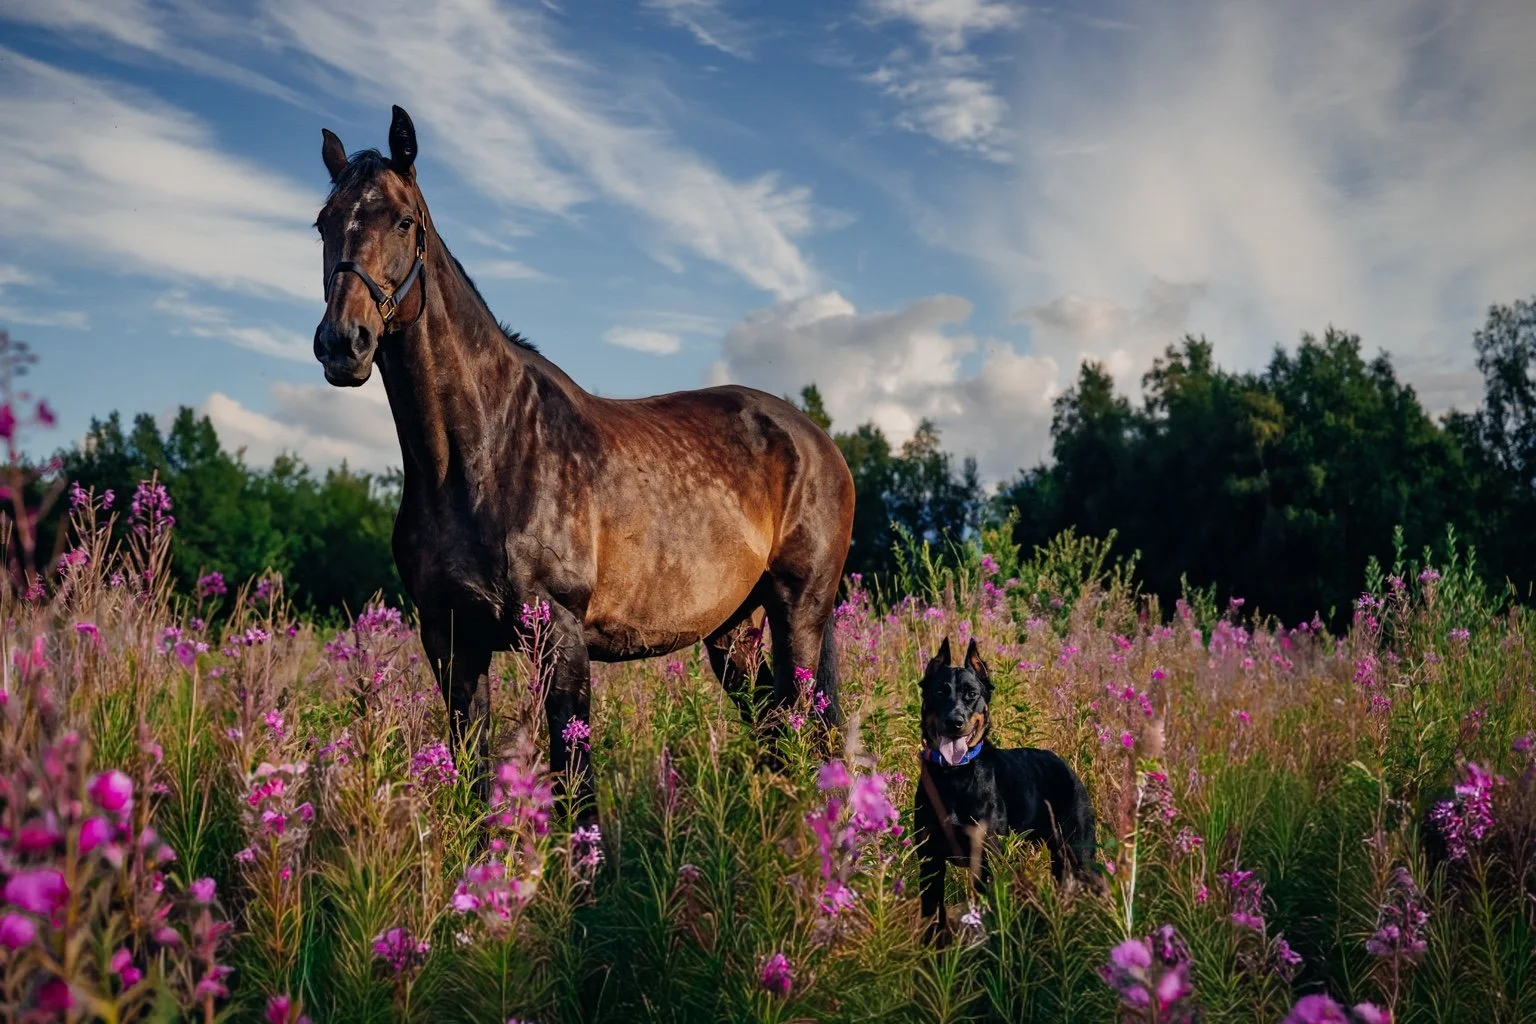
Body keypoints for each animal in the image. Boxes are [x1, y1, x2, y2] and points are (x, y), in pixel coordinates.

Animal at [310, 105, 855, 823]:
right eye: (323, 221)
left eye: (402, 220)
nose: (343, 343)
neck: (480, 454)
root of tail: (819, 443)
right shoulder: (451, 640)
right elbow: (472, 785)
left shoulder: (561, 638)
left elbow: (578, 792)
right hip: (734, 632)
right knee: (774, 732)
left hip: (800, 614)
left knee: (804, 730)